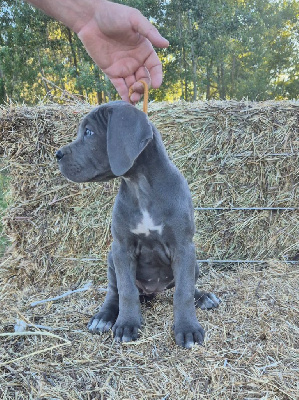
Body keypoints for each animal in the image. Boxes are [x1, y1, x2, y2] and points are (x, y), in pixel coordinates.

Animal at [56, 101, 220, 346]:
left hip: (194, 261)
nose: (57, 154)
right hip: (111, 258)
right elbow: (126, 291)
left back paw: (203, 297)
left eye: (89, 132)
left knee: (188, 286)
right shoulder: (122, 248)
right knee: (114, 292)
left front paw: (188, 328)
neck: (141, 187)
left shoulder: (183, 247)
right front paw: (126, 324)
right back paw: (104, 317)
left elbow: (183, 292)